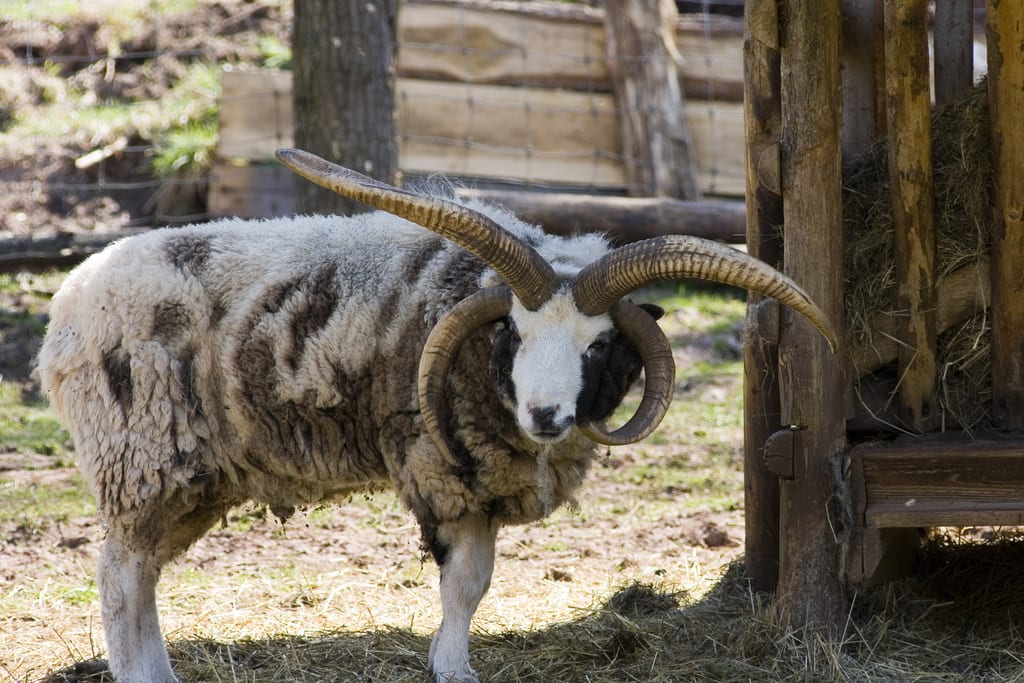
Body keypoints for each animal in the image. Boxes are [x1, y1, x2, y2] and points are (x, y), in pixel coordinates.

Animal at [36, 148, 837, 683]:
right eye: (513, 331)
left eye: (600, 343)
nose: (547, 414)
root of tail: (64, 308)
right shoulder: (444, 471)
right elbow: (462, 584)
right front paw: (453, 668)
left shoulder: (482, 480)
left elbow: (477, 584)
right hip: (140, 457)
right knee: (118, 574)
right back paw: (140, 673)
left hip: (190, 474)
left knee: (142, 573)